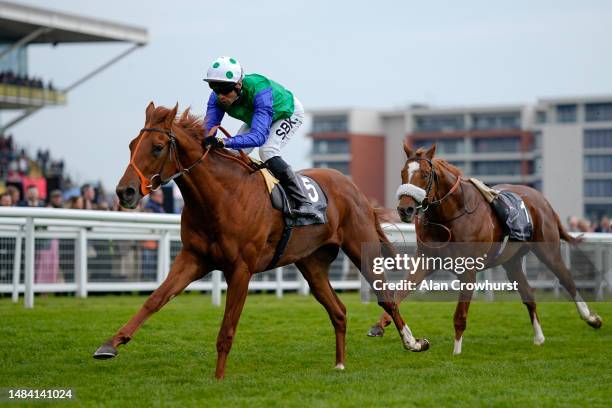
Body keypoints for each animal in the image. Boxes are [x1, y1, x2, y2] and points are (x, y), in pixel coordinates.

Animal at [93, 103, 428, 380]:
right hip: (312, 263)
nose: (124, 192)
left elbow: (227, 329)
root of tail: (354, 188)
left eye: (158, 147)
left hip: (361, 248)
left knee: (387, 297)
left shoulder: (241, 268)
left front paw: (219, 378)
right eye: (132, 145)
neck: (221, 196)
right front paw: (110, 344)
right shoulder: (193, 258)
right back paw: (340, 364)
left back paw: (413, 342)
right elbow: (156, 298)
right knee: (339, 311)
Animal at [368, 143, 604, 354]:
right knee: (529, 295)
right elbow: (398, 294)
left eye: (425, 174)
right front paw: (381, 327)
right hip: (512, 262)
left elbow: (460, 315)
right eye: (402, 173)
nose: (405, 209)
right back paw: (539, 338)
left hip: (548, 251)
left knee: (567, 280)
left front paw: (456, 352)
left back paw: (591, 318)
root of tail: (540, 198)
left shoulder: (468, 270)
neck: (450, 215)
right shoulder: (426, 260)